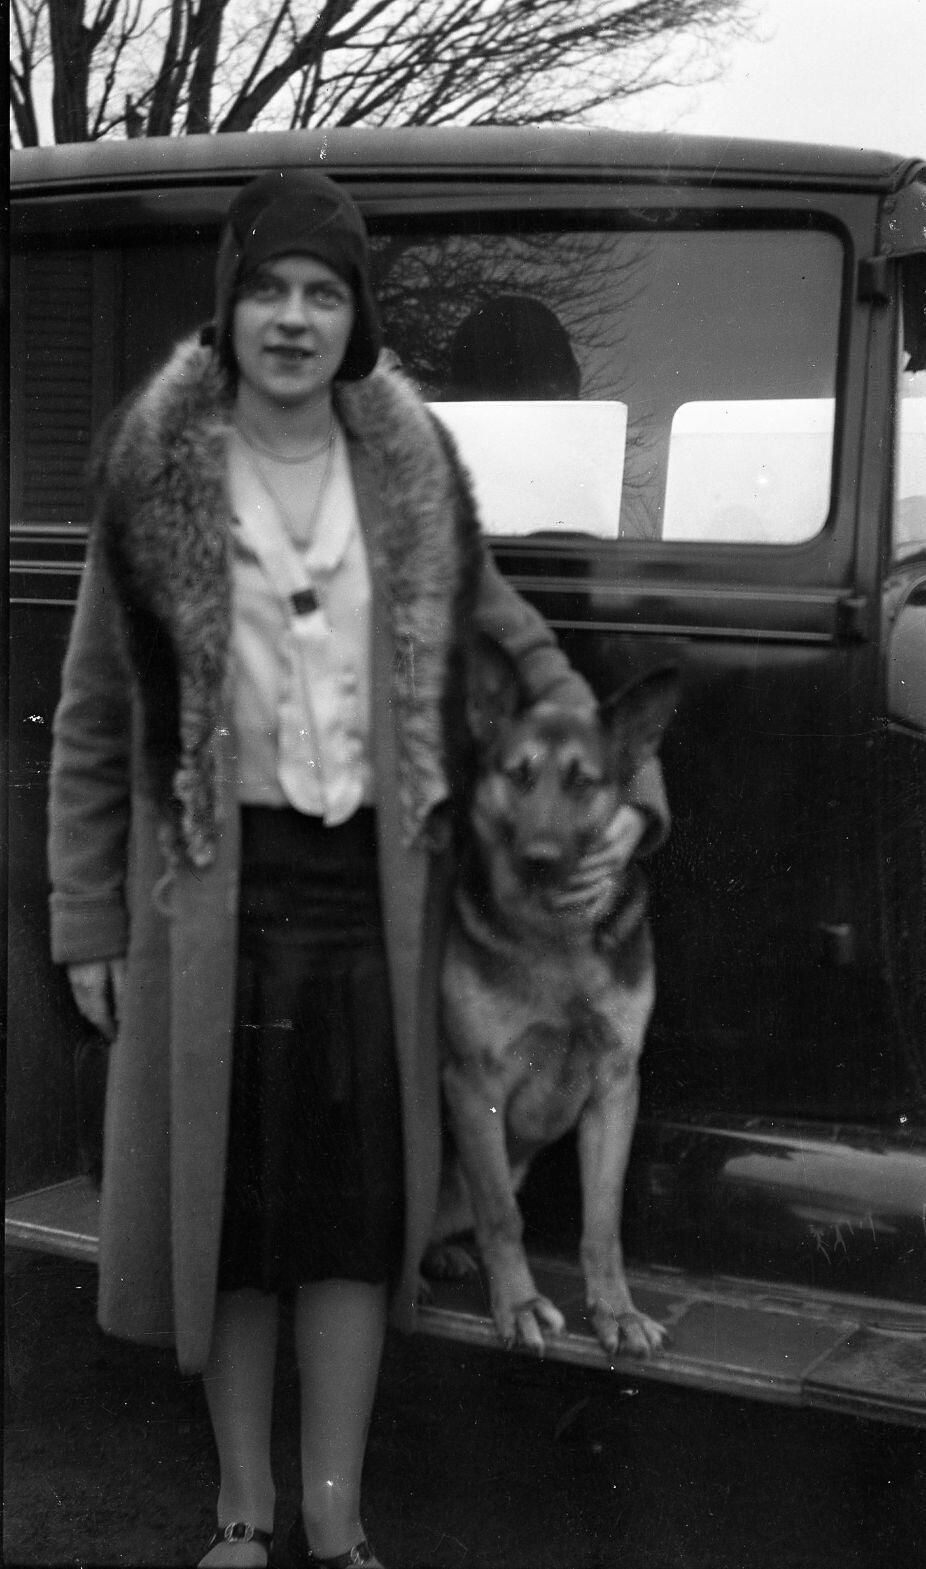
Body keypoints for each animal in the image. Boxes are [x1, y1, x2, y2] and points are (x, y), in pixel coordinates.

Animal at [427, 637, 678, 1358]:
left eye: (582, 782)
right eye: (519, 775)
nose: (538, 856)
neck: (554, 934)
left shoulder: (616, 1087)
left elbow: (603, 1222)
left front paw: (616, 1311)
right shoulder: (473, 1083)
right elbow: (503, 1217)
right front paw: (519, 1304)